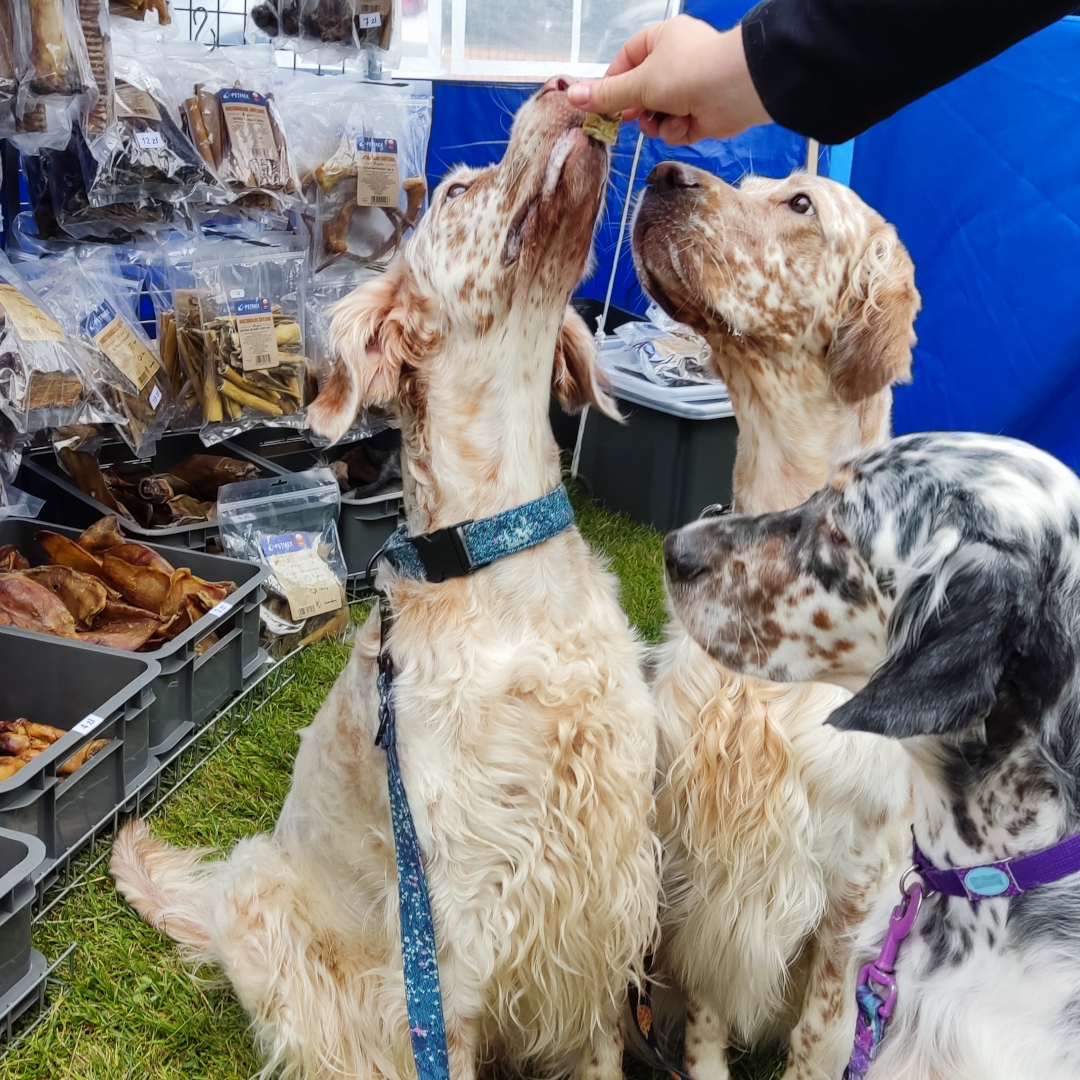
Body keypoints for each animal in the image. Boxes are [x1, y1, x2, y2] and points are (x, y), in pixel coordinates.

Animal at [111, 79, 661, 1080]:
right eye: (455, 192)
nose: (561, 87)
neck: (501, 564)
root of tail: (214, 907)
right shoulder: (460, 951)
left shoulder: (603, 915)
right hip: (275, 927)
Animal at [631, 164, 921, 1079]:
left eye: (800, 203)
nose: (662, 173)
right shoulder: (706, 869)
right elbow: (708, 1020)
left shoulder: (853, 902)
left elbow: (821, 1037)